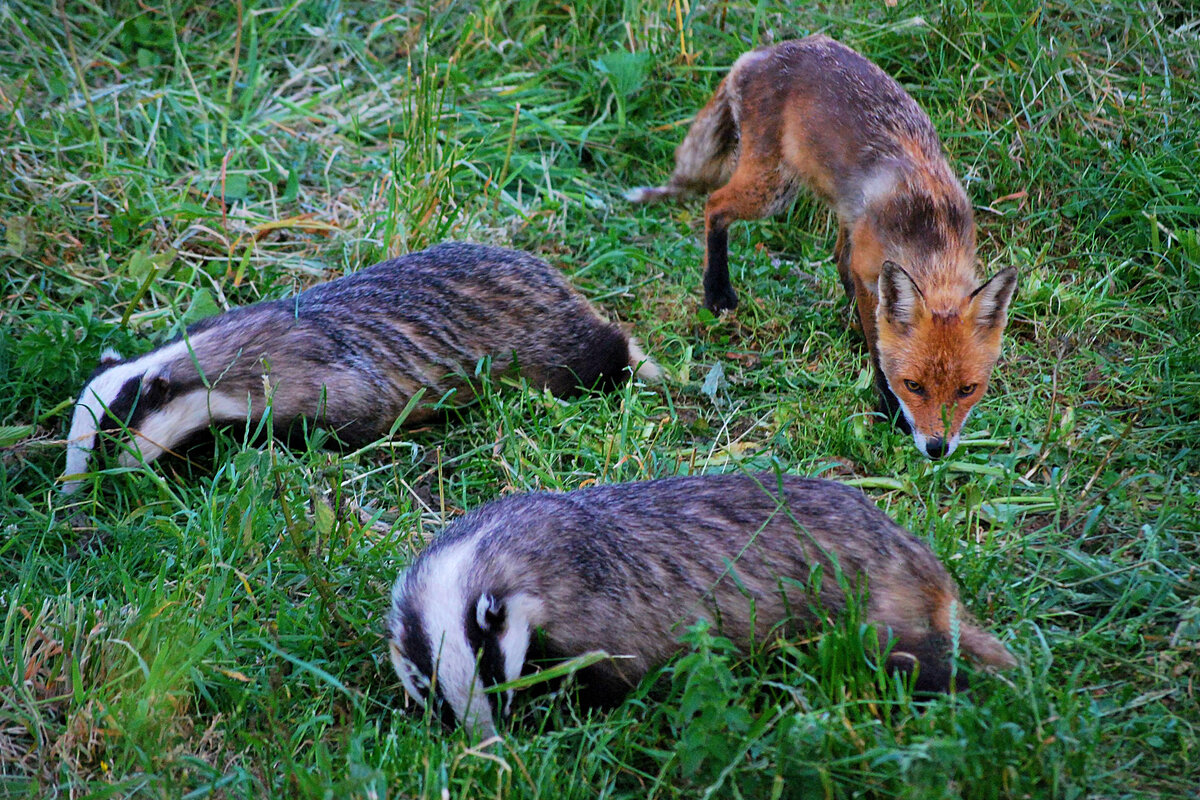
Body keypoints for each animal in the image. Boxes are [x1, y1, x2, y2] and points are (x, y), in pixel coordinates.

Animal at [633, 37, 1017, 460]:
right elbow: (879, 347)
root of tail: (762, 53)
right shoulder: (870, 273)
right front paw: (891, 412)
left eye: (968, 390)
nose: (936, 448)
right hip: (773, 190)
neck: (931, 231)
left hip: (828, 201)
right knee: (713, 205)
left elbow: (862, 301)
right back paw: (717, 292)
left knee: (834, 254)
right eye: (913, 385)